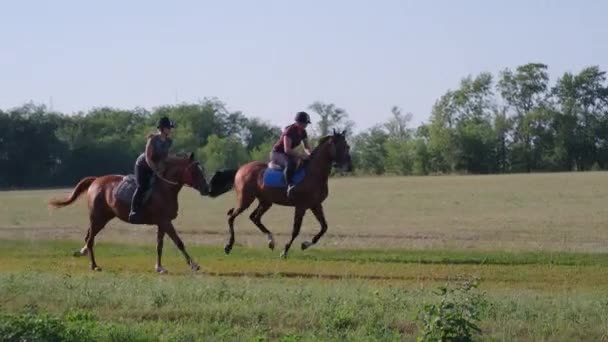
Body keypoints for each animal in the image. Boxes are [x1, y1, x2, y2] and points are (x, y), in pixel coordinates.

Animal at [48, 152, 209, 272]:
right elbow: (179, 242)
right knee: (90, 239)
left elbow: (159, 245)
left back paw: (84, 253)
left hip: (103, 218)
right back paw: (94, 265)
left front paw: (159, 267)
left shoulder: (162, 223)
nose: (207, 189)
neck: (164, 188)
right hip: (97, 218)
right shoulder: (165, 222)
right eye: (195, 171)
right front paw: (194, 265)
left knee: (88, 237)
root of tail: (96, 181)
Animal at [217, 130, 352, 258]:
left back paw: (271, 241)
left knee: (254, 218)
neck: (314, 173)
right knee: (232, 217)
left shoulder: (316, 205)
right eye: (342, 146)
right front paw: (285, 251)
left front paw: (305, 244)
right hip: (245, 200)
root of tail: (240, 169)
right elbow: (295, 230)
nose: (349, 166)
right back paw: (229, 246)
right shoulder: (301, 207)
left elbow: (324, 227)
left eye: (347, 146)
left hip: (266, 202)